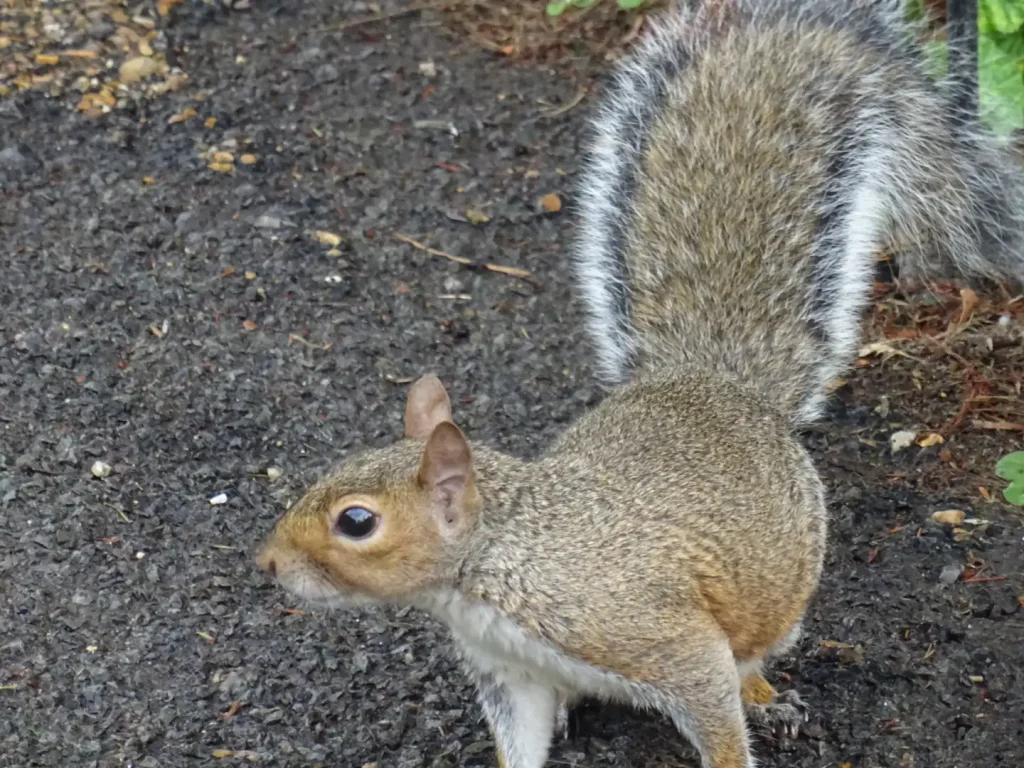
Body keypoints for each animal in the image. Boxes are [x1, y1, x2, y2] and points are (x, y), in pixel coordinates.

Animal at [257, 2, 1024, 767]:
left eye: (357, 521)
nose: (267, 563)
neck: (497, 559)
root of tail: (712, 381)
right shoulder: (511, 673)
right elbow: (522, 736)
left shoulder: (657, 638)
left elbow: (713, 702)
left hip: (779, 589)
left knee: (751, 657)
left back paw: (768, 698)